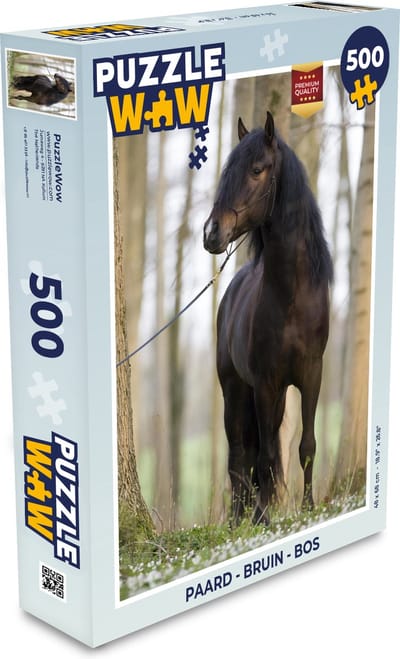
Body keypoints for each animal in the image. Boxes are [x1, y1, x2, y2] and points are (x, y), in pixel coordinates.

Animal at [203, 111, 333, 525]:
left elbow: (305, 445)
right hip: (235, 390)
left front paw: (307, 509)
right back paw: (238, 518)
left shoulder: (310, 376)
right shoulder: (264, 383)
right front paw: (262, 519)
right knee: (239, 453)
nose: (211, 233)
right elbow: (261, 456)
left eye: (257, 169)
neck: (290, 297)